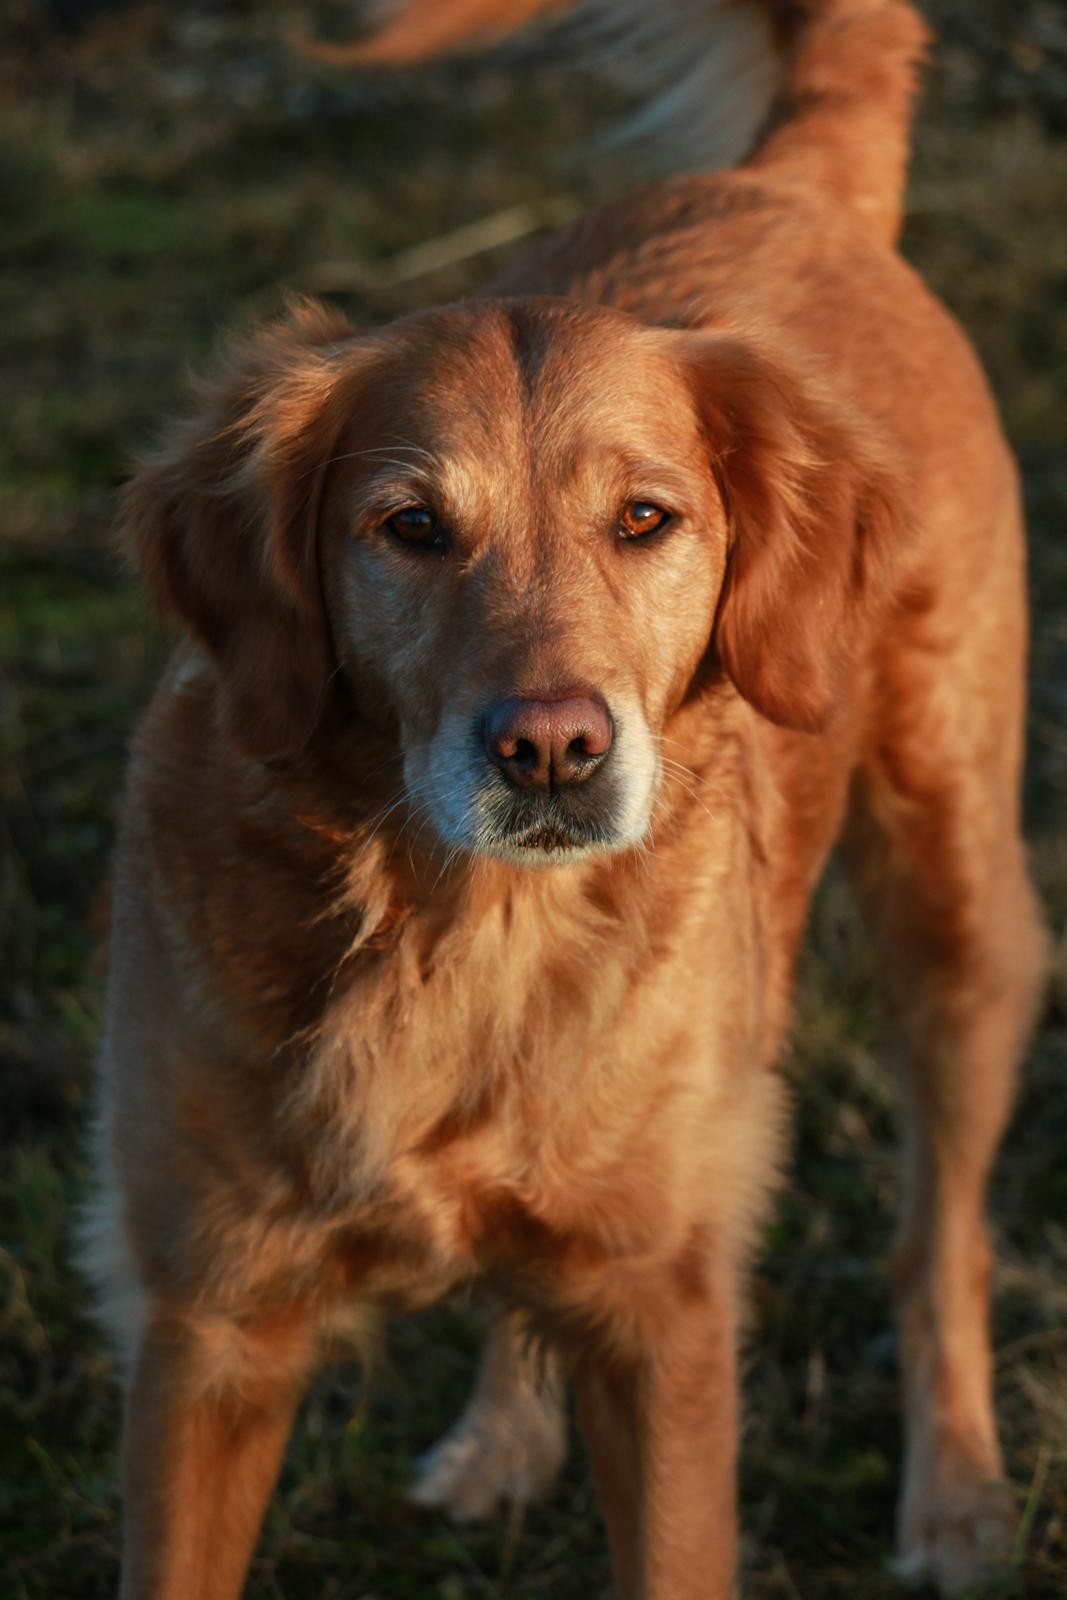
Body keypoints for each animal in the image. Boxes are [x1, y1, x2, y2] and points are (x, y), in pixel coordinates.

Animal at [85, 3, 1049, 1600]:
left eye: (644, 520)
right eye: (411, 529)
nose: (551, 749)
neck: (454, 931)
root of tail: (783, 181)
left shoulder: (665, 1327)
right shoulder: (205, 1333)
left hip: (952, 892)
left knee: (940, 1241)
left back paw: (959, 1495)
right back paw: (500, 1438)